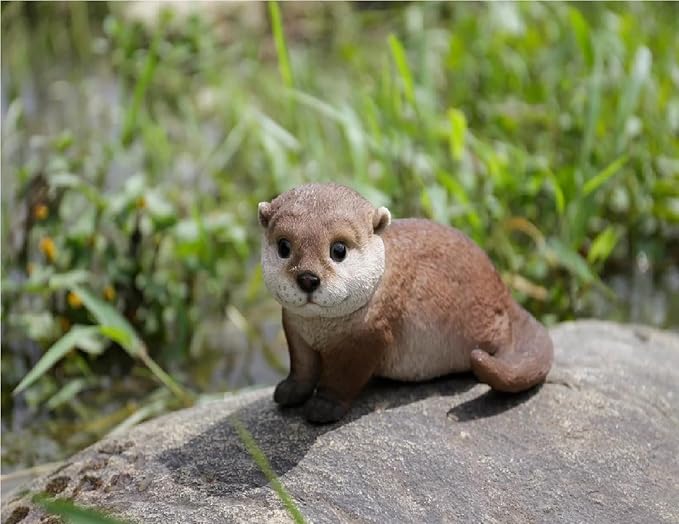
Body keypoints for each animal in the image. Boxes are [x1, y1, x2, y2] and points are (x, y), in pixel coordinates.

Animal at [258, 183, 553, 423]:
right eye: (284, 247)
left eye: (338, 250)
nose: (308, 278)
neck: (320, 330)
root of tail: (503, 293)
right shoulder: (294, 328)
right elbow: (302, 367)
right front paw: (289, 391)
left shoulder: (369, 337)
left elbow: (343, 379)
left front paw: (324, 407)